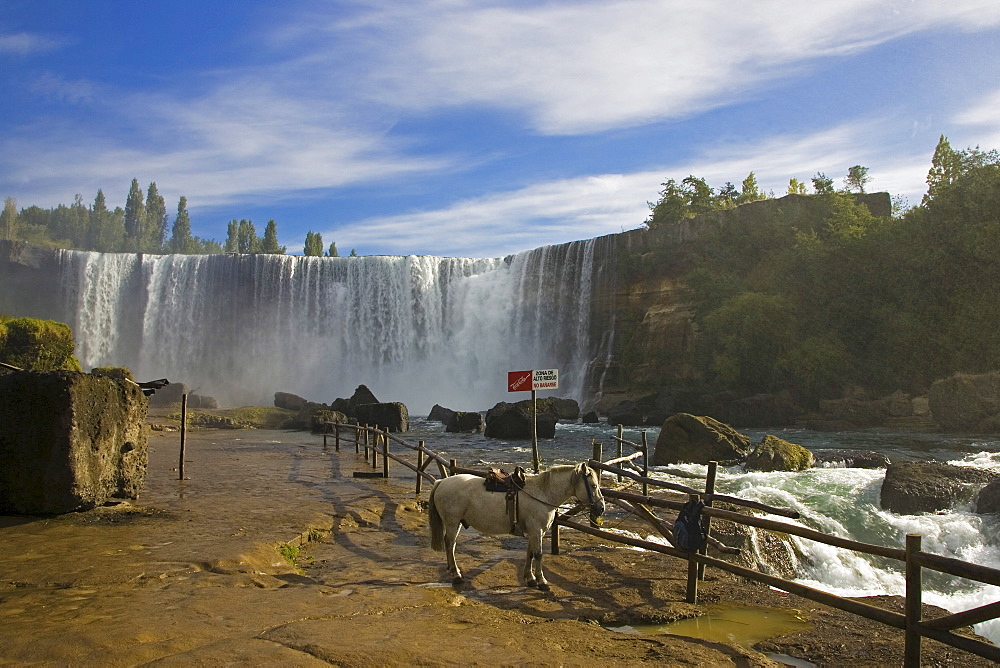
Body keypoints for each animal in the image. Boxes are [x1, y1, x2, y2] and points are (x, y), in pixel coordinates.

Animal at [428, 464, 604, 588]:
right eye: (594, 486)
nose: (601, 508)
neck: (543, 492)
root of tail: (441, 482)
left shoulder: (534, 532)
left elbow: (530, 554)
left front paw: (530, 578)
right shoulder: (536, 530)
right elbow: (538, 555)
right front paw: (542, 581)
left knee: (450, 545)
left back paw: (453, 570)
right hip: (452, 522)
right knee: (450, 544)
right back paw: (456, 575)